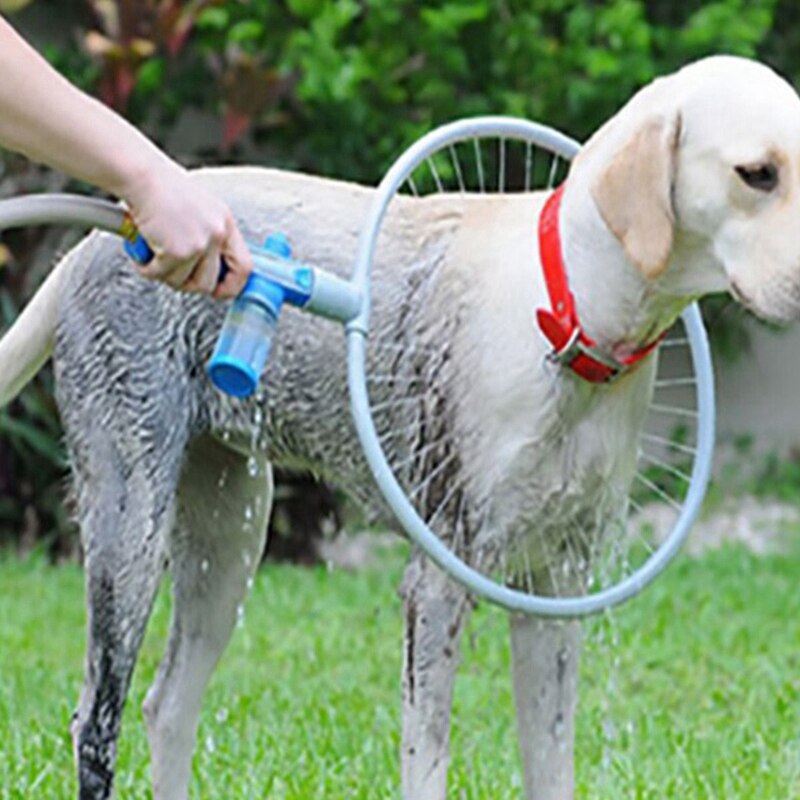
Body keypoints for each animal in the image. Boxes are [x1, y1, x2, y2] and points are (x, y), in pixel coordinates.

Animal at [1, 56, 800, 800]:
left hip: (229, 531)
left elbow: (551, 762)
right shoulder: (438, 583)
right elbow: (428, 760)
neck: (565, 309)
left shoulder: (555, 584)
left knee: (167, 706)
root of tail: (91, 244)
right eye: (756, 175)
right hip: (129, 522)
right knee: (95, 722)